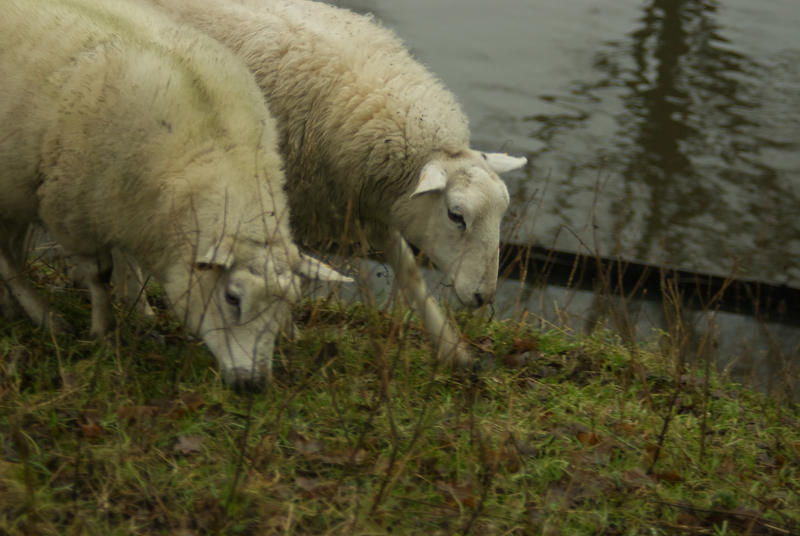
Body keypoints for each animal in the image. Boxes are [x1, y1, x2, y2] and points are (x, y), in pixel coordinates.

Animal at [0, 0, 350, 388]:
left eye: (288, 304)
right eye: (232, 297)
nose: (252, 385)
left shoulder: (133, 212)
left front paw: (140, 312)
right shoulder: (74, 214)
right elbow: (100, 275)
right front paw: (105, 332)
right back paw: (45, 317)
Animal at [147, 0, 528, 366]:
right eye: (456, 215)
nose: (483, 296)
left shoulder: (369, 202)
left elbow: (408, 269)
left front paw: (451, 348)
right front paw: (283, 327)